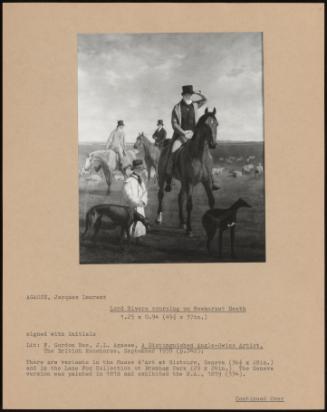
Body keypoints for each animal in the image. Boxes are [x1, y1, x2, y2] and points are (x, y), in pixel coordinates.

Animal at [157, 108, 219, 237]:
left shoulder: (206, 181)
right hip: (162, 177)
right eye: (206, 125)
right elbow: (189, 205)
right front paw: (190, 229)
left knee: (180, 197)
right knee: (160, 195)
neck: (199, 156)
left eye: (216, 124)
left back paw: (182, 222)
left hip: (183, 182)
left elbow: (211, 200)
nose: (213, 144)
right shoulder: (190, 182)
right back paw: (159, 218)